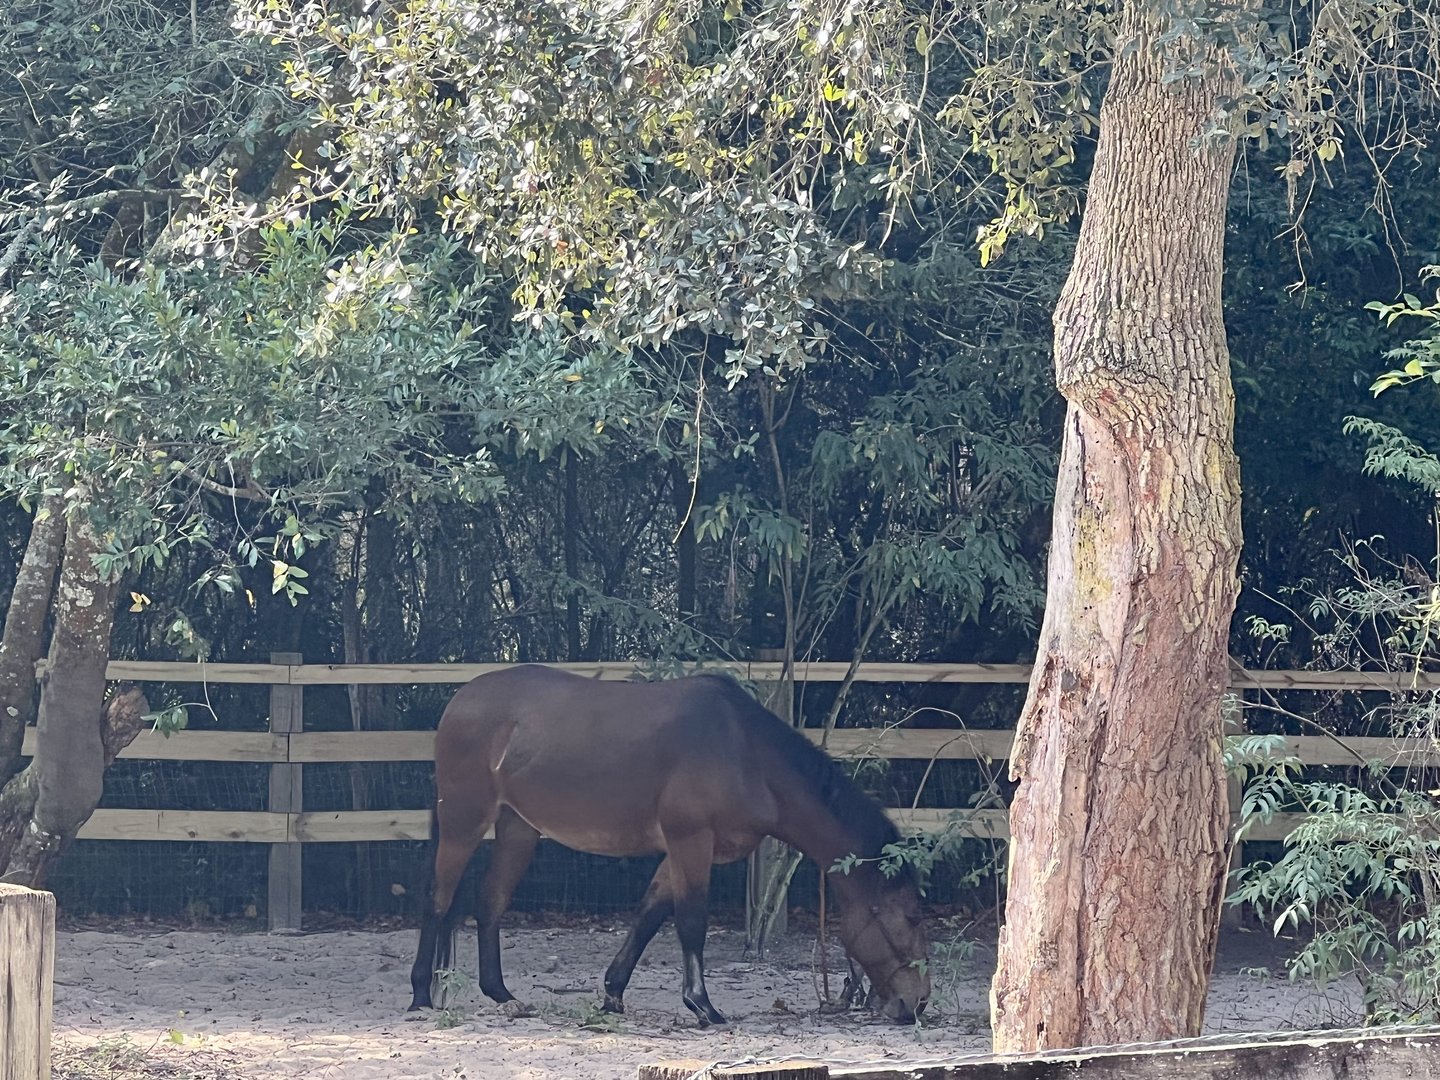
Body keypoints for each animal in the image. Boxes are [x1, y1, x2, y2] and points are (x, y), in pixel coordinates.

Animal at [408, 665, 930, 1025]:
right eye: (910, 917)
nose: (917, 1002)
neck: (746, 754)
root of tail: (460, 700)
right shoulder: (690, 841)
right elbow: (690, 922)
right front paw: (703, 1007)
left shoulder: (683, 850)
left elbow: (648, 916)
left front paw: (613, 994)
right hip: (464, 823)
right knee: (437, 900)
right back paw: (420, 996)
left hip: (518, 829)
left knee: (490, 901)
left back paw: (503, 996)